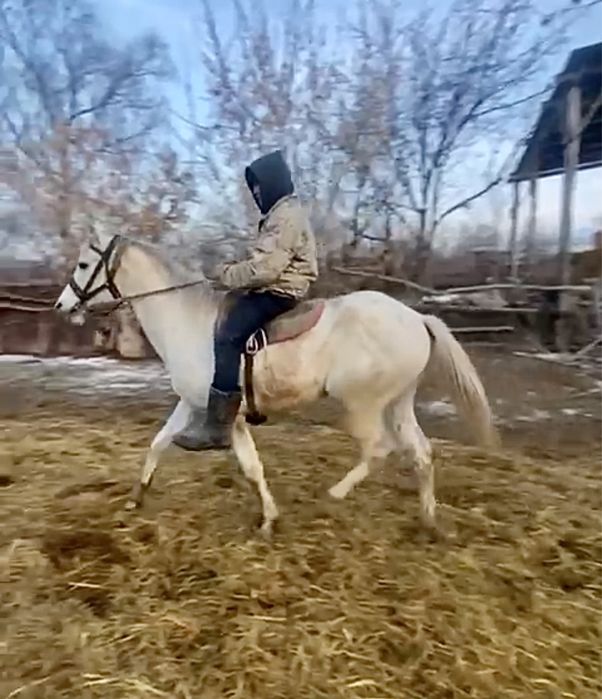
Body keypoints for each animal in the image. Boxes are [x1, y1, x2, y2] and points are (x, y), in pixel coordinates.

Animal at [54, 230, 497, 537]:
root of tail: (416, 318)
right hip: (399, 403)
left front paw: (268, 520)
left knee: (379, 449)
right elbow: (158, 444)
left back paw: (334, 496)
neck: (188, 319)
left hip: (363, 405)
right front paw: (136, 497)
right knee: (421, 453)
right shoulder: (191, 403)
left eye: (83, 265)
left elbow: (251, 468)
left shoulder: (229, 416)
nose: (62, 306)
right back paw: (430, 522)